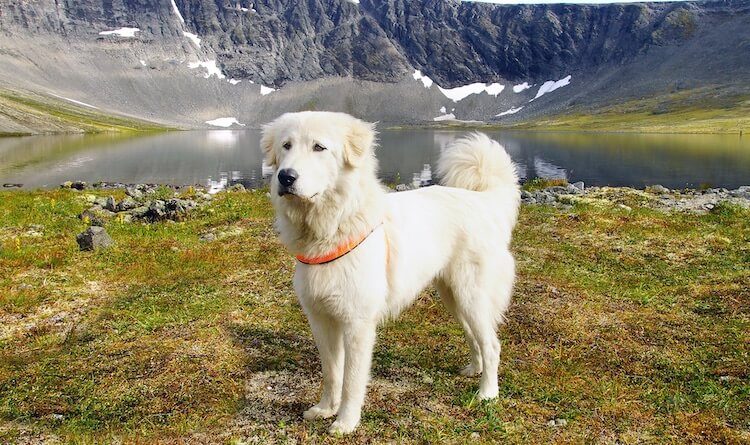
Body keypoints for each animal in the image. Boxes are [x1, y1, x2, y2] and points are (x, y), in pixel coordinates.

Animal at [262, 111, 520, 434]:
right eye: (286, 146)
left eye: (319, 147)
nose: (285, 177)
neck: (332, 227)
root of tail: (483, 201)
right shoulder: (321, 320)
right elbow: (332, 373)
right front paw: (325, 409)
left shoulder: (357, 325)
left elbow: (352, 381)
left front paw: (345, 421)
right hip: (454, 298)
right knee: (475, 338)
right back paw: (475, 370)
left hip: (471, 295)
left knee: (492, 344)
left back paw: (487, 392)